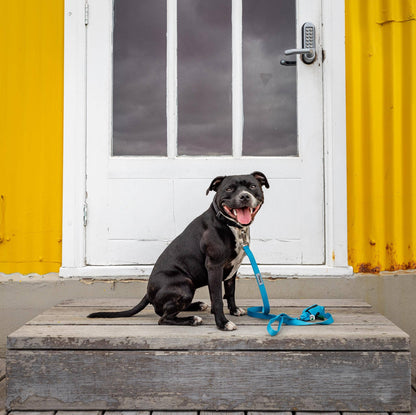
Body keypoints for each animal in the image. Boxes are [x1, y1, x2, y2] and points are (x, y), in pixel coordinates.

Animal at [88, 171, 270, 332]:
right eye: (229, 189)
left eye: (252, 186)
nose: (245, 196)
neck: (230, 225)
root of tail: (148, 293)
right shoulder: (215, 267)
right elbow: (218, 298)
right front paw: (223, 323)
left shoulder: (232, 269)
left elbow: (230, 291)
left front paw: (234, 309)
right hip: (185, 284)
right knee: (163, 317)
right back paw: (192, 319)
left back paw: (197, 306)